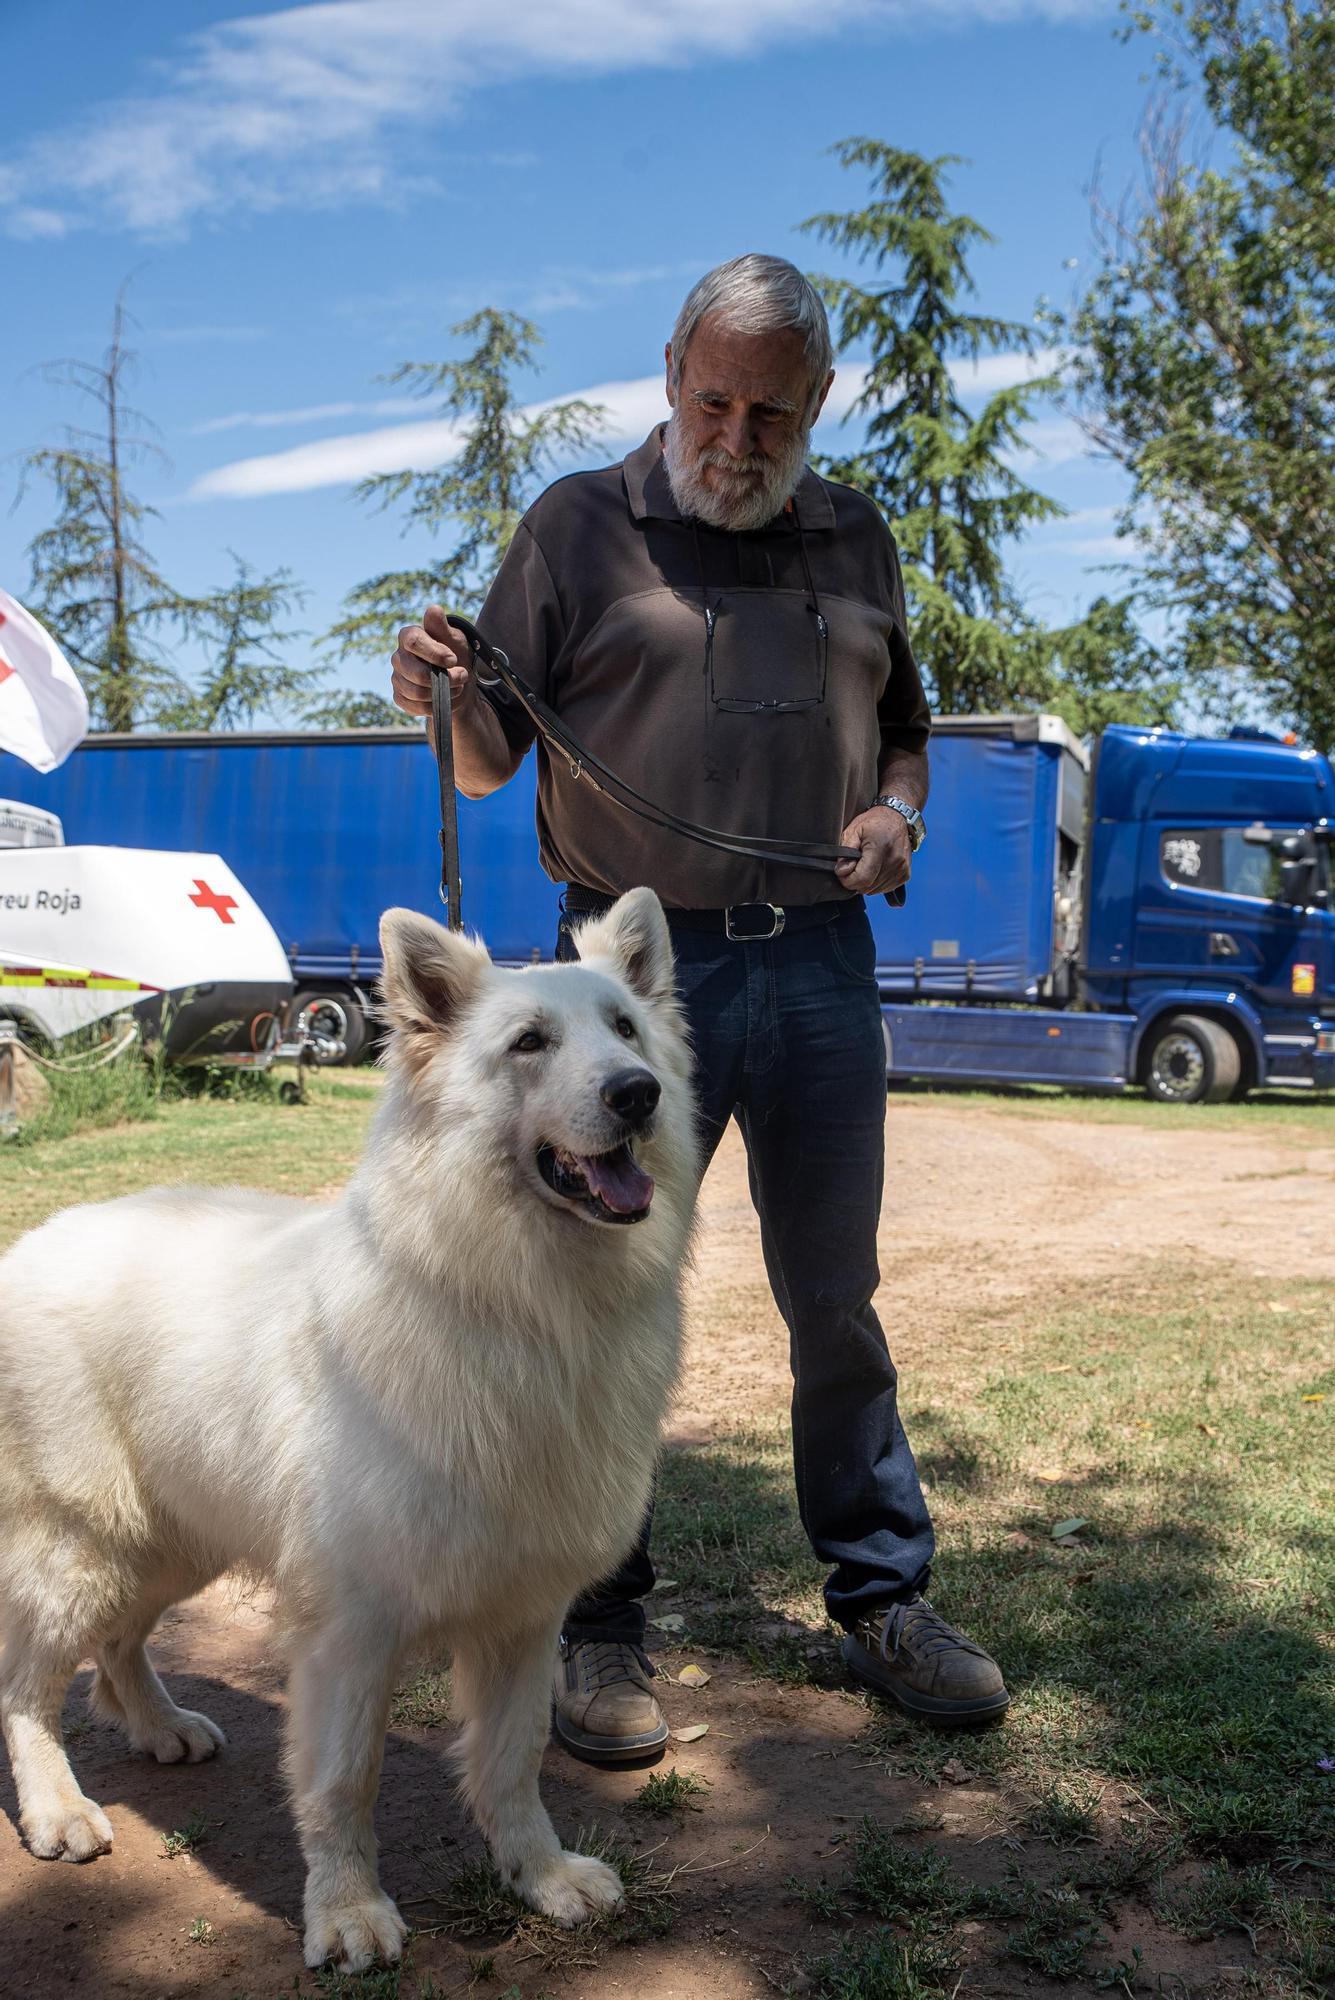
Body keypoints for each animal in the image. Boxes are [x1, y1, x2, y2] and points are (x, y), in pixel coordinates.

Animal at [0, 892, 703, 1968]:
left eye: (625, 1028)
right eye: (530, 1042)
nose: (639, 1093)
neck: (513, 1300)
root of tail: (35, 1239)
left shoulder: (524, 1615)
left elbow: (511, 1764)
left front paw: (540, 1877)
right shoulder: (350, 1630)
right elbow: (342, 1785)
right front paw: (347, 1912)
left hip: (173, 1542)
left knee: (117, 1645)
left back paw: (159, 1726)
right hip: (82, 1546)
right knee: (28, 1689)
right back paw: (57, 1809)